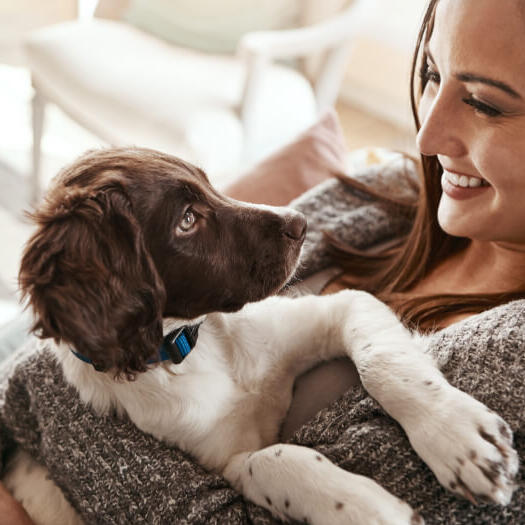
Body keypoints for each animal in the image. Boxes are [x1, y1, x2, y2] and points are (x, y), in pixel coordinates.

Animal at [2, 147, 516, 524]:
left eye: (210, 185)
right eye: (187, 220)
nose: (301, 224)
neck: (197, 349)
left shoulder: (343, 306)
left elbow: (383, 364)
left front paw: (457, 439)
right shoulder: (224, 464)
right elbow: (274, 459)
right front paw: (366, 508)